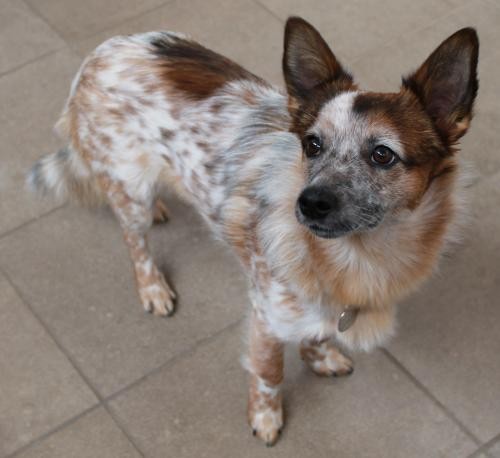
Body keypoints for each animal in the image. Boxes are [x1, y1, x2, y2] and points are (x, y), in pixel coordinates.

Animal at [28, 17, 480, 444]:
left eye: (383, 154)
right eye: (312, 145)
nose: (309, 202)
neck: (357, 255)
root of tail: (100, 52)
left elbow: (316, 333)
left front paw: (320, 357)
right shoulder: (266, 314)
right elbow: (269, 372)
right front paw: (265, 417)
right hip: (128, 189)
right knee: (133, 240)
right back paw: (152, 286)